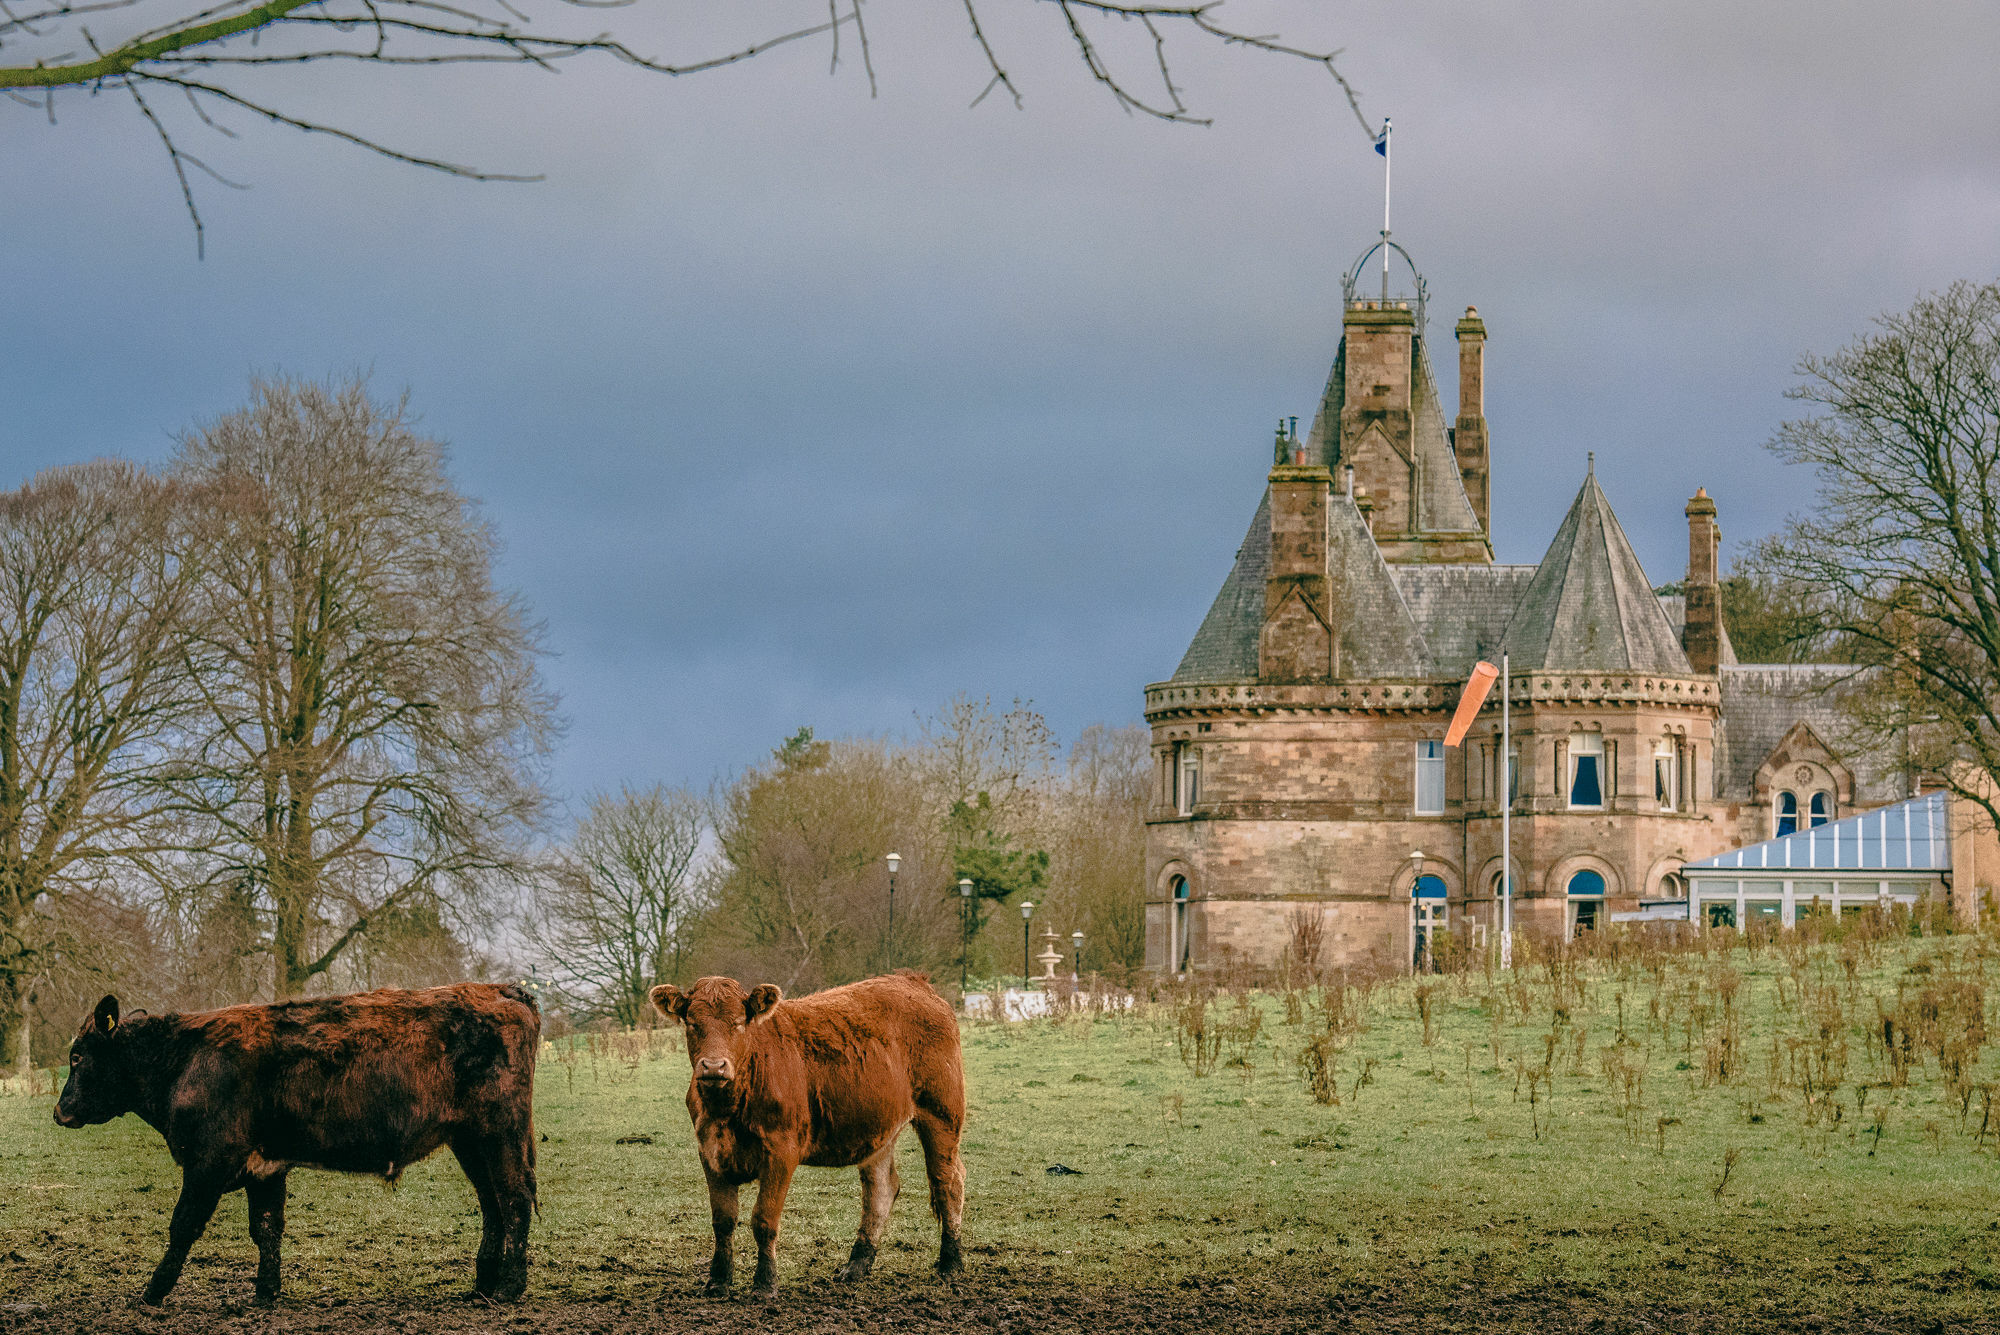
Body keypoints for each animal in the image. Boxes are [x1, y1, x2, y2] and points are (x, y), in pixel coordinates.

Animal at [54, 979, 540, 1303]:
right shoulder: (264, 1167)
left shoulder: (209, 1161)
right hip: (471, 1140)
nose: (59, 1112)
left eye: (77, 1056)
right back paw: (482, 1286)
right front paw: (266, 1292)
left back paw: (509, 1288)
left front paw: (152, 1292)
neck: (184, 1059)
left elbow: (183, 1225)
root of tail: (500, 988)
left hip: (500, 1133)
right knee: (493, 1203)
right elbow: (267, 1227)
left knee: (514, 1198)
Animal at [652, 971, 964, 1295]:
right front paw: (718, 1280)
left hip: (941, 1115)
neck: (729, 1107)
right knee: (880, 1191)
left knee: (947, 1183)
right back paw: (857, 1265)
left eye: (737, 1022)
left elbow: (764, 1220)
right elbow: (723, 1220)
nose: (714, 1067)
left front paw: (765, 1283)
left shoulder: (781, 1151)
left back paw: (950, 1263)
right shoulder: (710, 1151)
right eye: (692, 1023)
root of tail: (911, 980)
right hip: (879, 1128)